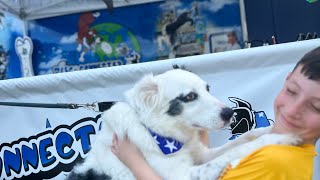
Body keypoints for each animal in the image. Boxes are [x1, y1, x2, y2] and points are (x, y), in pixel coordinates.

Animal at [66, 66, 302, 180]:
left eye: (208, 89)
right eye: (189, 97)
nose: (230, 113)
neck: (155, 130)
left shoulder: (202, 155)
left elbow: (244, 137)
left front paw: (272, 129)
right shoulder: (183, 175)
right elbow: (236, 150)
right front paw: (281, 137)